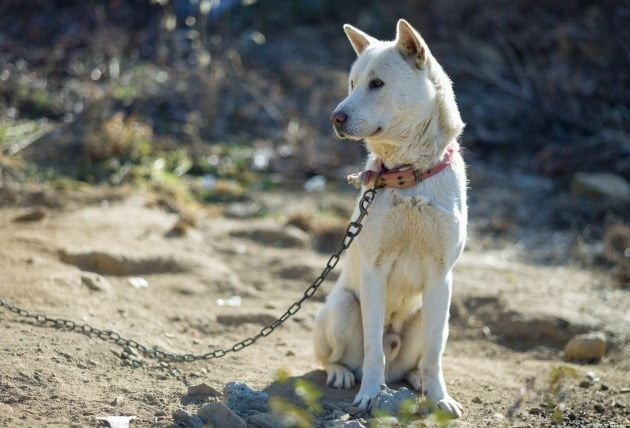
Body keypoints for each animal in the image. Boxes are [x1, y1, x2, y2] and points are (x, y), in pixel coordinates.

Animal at [316, 20, 470, 418]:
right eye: (352, 83)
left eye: (377, 84)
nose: (335, 118)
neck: (408, 172)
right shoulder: (374, 271)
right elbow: (374, 350)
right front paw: (370, 396)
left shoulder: (441, 278)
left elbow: (434, 355)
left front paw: (439, 398)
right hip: (342, 308)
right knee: (333, 358)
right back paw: (341, 374)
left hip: (431, 315)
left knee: (419, 360)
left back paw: (416, 381)